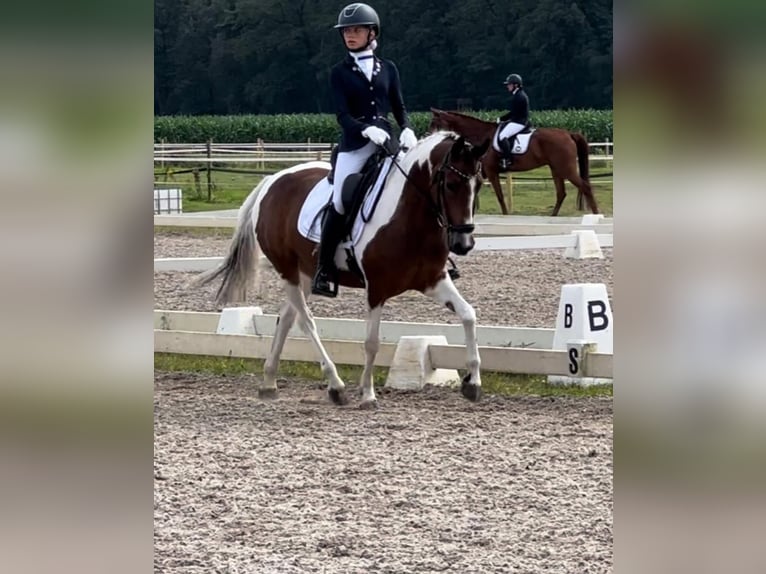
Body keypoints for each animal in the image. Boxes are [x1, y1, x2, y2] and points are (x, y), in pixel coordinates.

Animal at [194, 132, 490, 407]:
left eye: (478, 185)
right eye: (450, 185)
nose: (464, 244)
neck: (409, 216)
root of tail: (273, 179)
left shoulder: (433, 280)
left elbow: (468, 315)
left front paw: (472, 383)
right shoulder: (376, 288)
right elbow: (372, 342)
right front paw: (368, 394)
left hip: (304, 273)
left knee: (286, 318)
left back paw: (269, 383)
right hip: (287, 270)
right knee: (305, 321)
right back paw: (335, 385)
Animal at [428, 109, 600, 217]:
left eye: (434, 123)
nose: (428, 139)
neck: (482, 135)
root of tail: (569, 134)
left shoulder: (491, 172)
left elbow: (499, 196)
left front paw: (505, 215)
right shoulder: (480, 172)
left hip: (566, 169)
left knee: (585, 187)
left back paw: (596, 214)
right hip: (556, 169)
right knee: (561, 193)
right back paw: (553, 216)